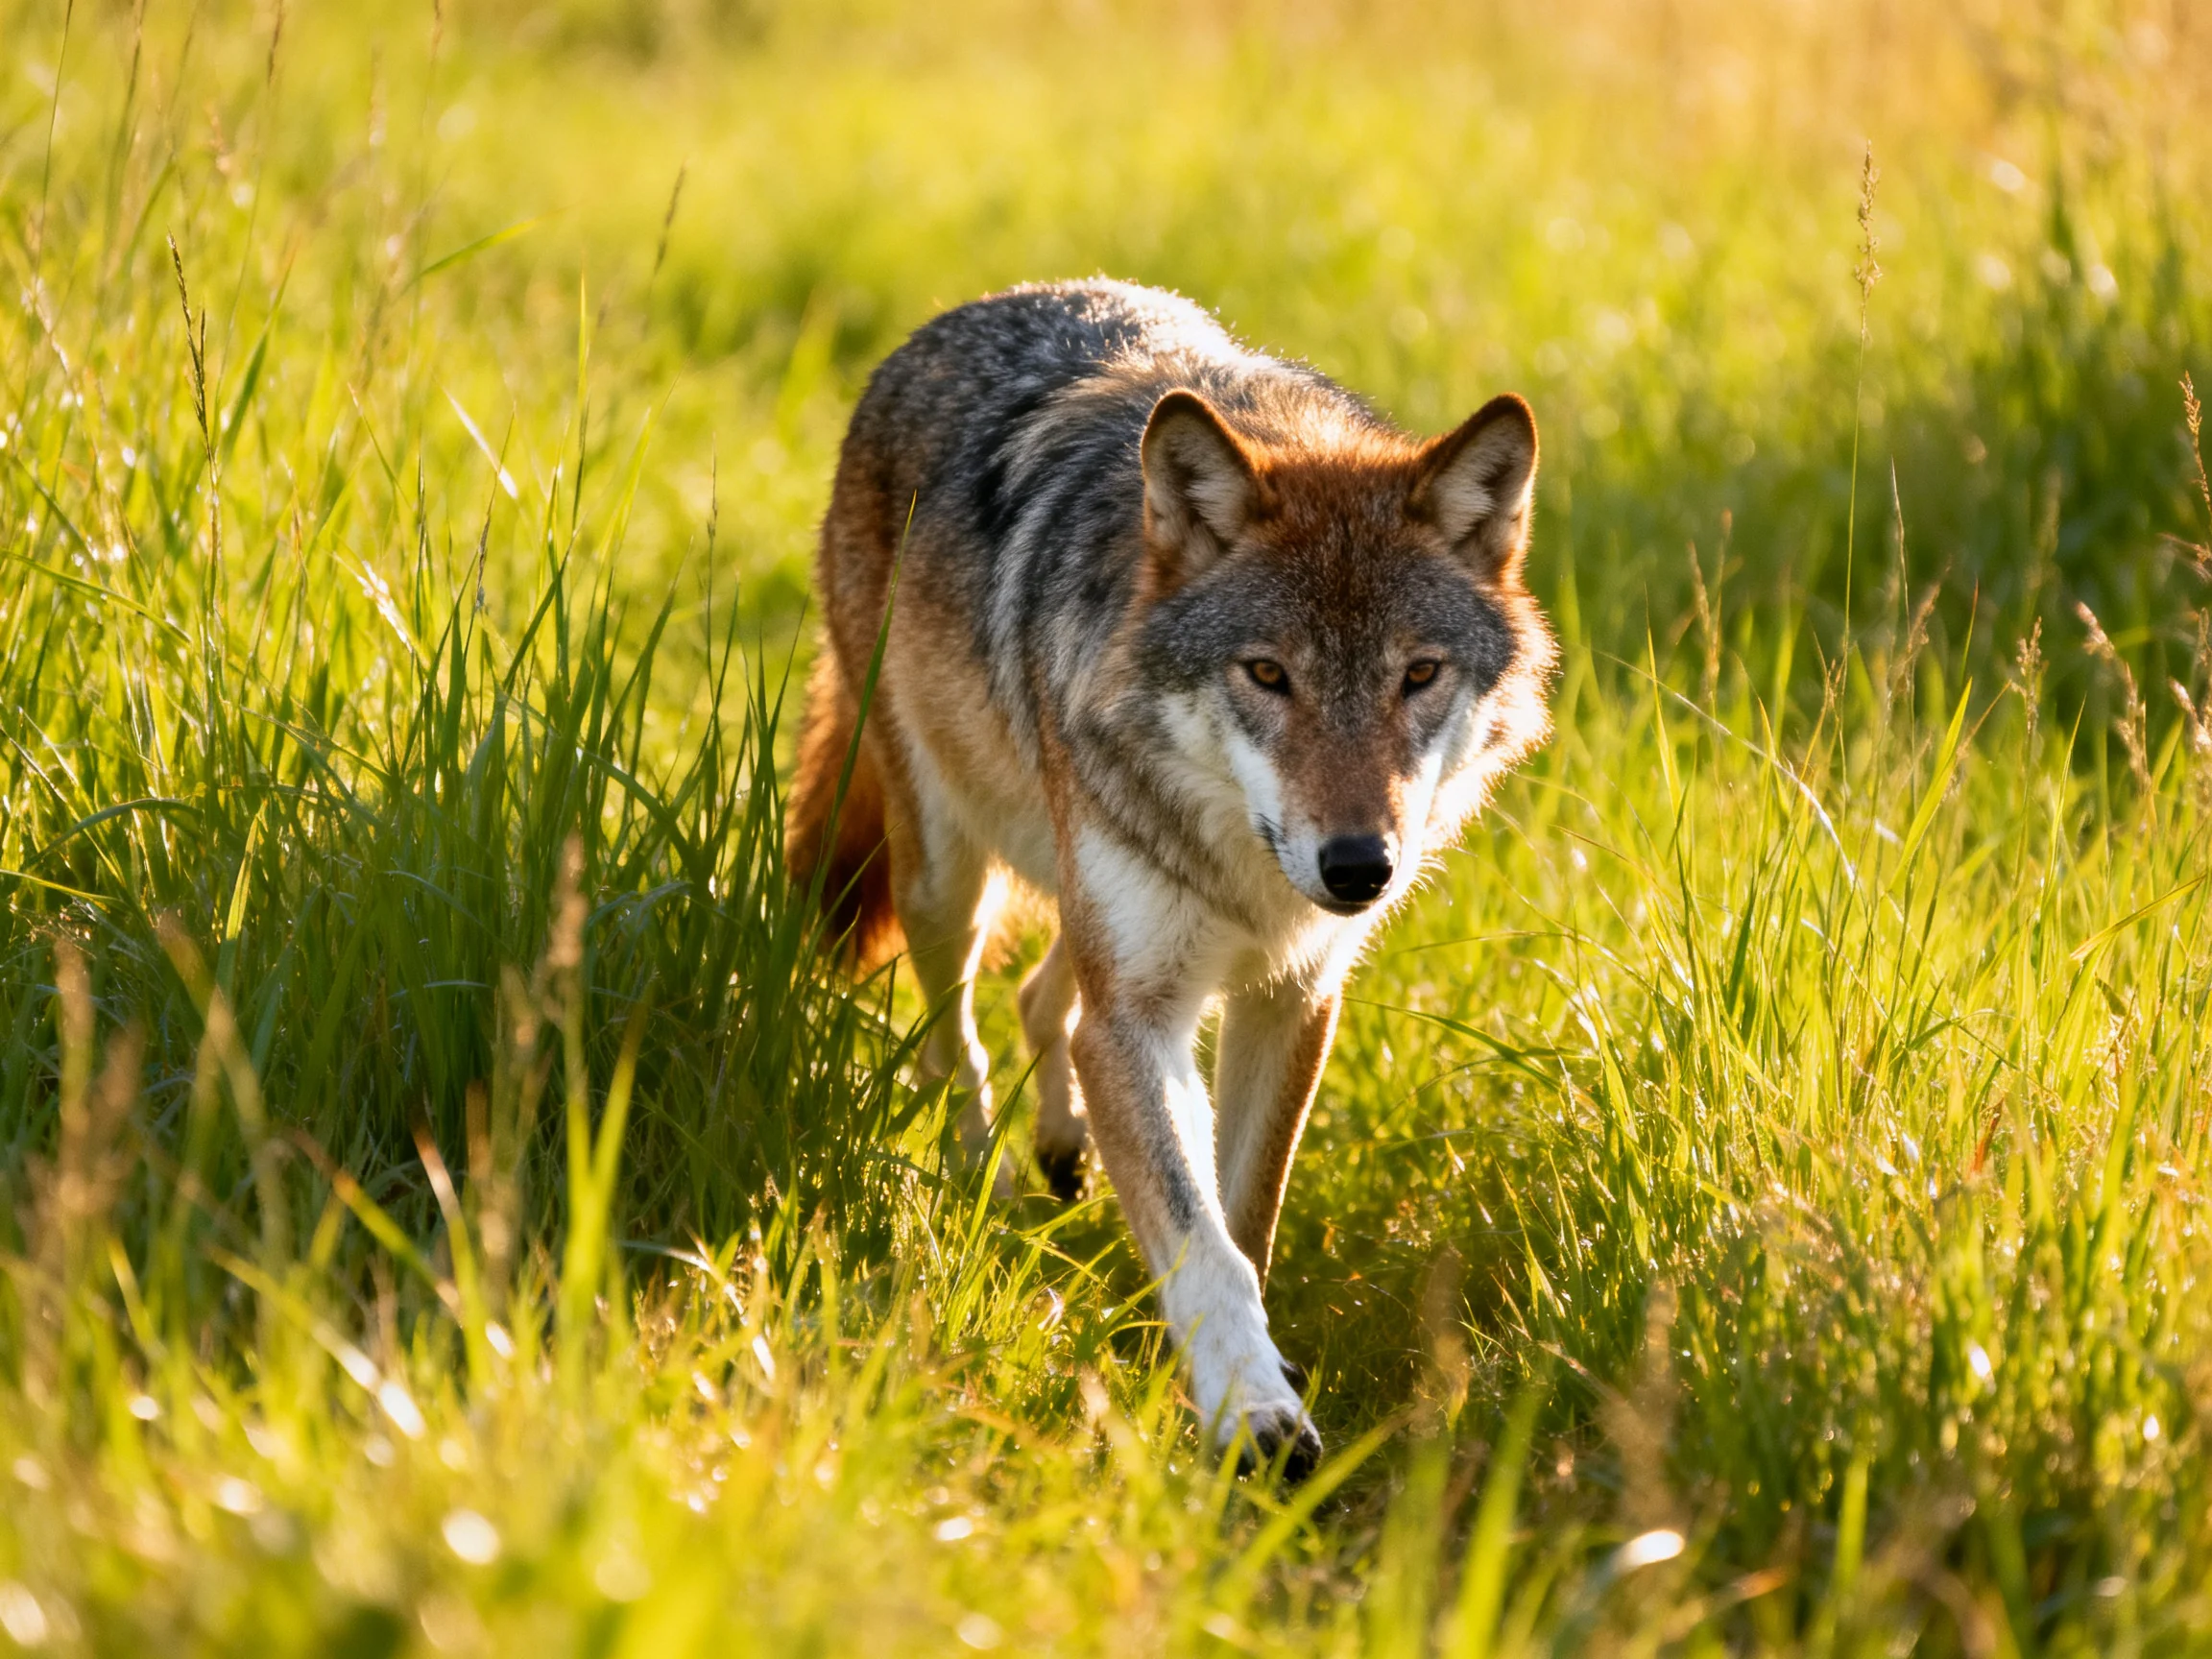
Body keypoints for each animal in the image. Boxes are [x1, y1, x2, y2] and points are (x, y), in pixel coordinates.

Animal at [786, 280, 1555, 1473]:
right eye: (1268, 675)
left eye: (1418, 675)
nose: (1359, 868)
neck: (1248, 871)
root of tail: (962, 313)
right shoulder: (1141, 1012)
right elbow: (1202, 1239)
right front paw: (1252, 1414)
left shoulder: (1292, 996)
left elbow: (1241, 1214)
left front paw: (1236, 1372)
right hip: (946, 873)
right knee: (957, 1033)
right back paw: (985, 1180)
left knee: (1041, 998)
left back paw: (1062, 1150)